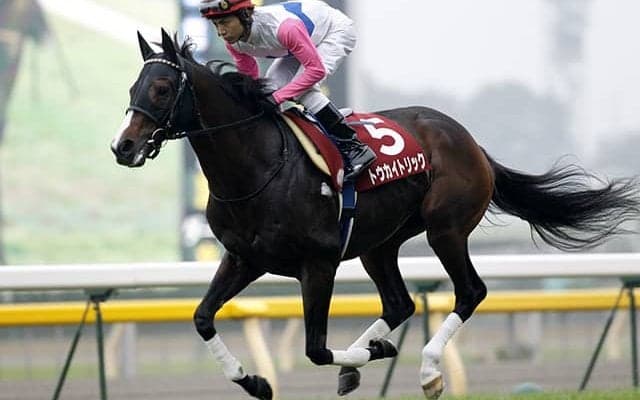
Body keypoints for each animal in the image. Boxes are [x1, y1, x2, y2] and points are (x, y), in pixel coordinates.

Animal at [111, 29, 640, 400]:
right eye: (134, 85)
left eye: (163, 88)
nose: (124, 146)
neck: (258, 166)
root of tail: (468, 139)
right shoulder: (244, 258)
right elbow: (202, 317)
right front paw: (256, 381)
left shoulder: (319, 263)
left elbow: (315, 349)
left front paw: (372, 354)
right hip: (379, 244)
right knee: (400, 303)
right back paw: (362, 360)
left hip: (446, 229)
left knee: (470, 291)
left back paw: (426, 372)